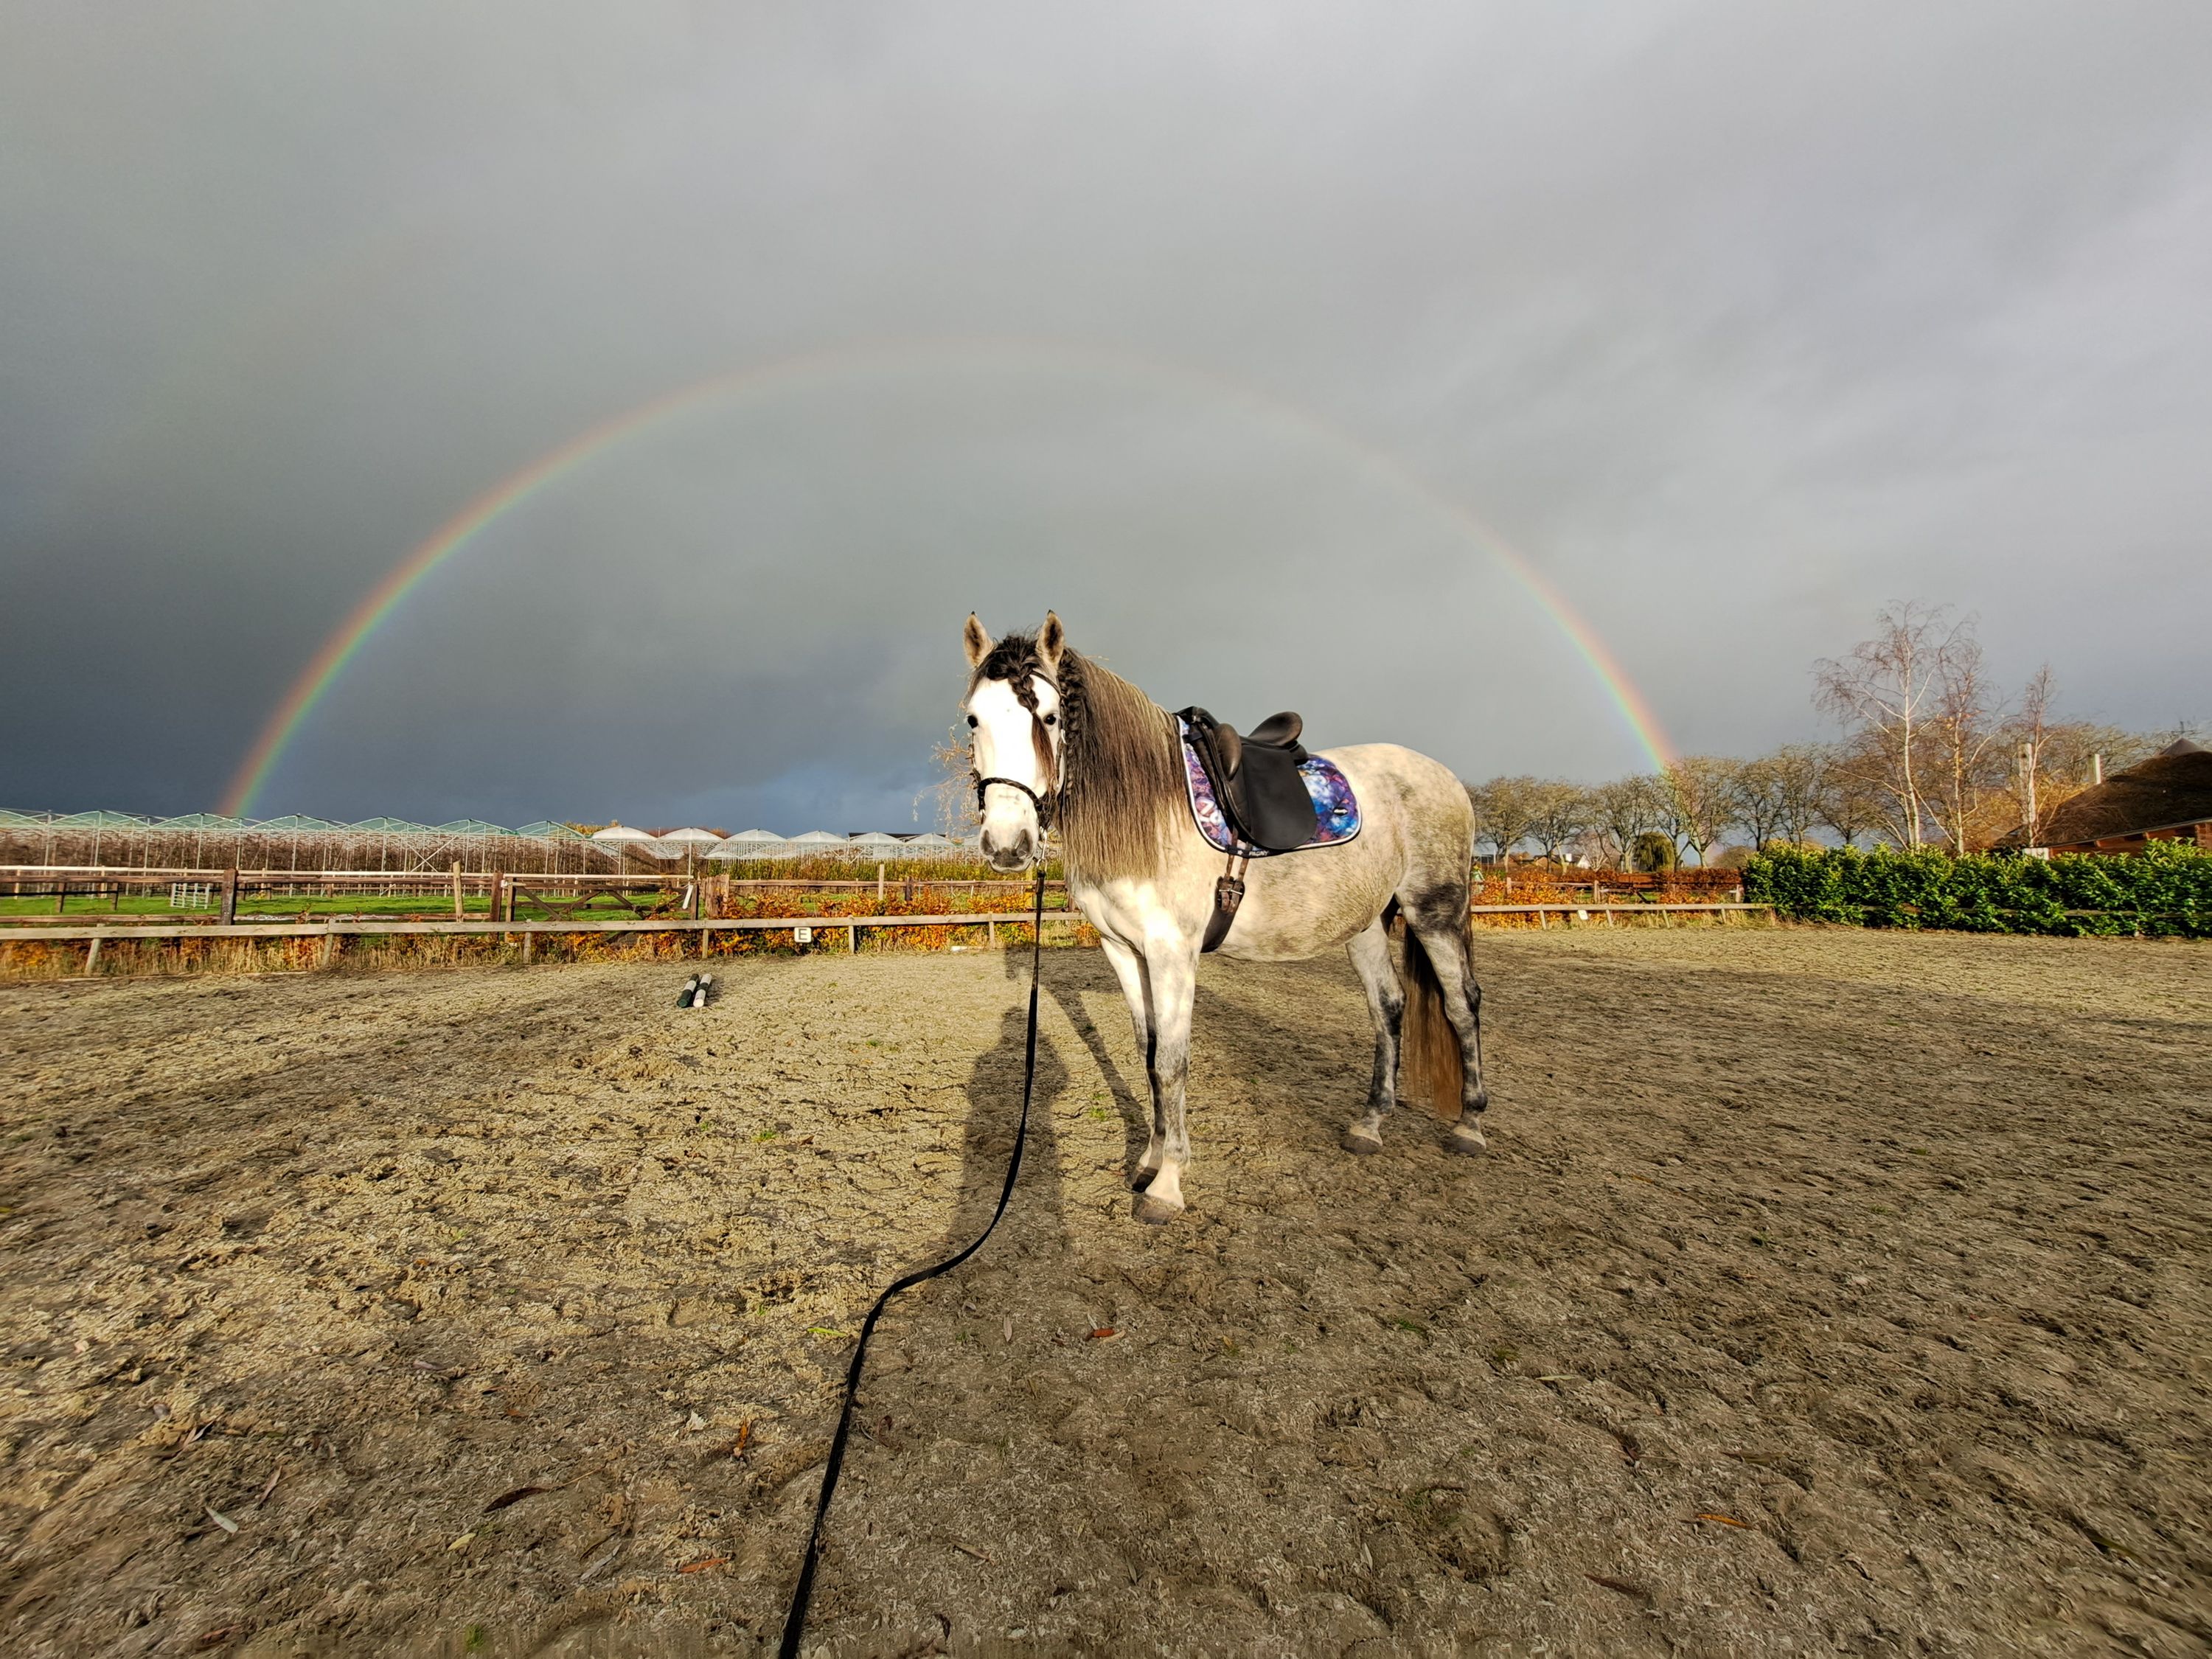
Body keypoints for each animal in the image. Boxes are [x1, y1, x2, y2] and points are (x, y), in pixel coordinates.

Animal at [962, 611, 1490, 1225]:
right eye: (973, 718)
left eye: (1049, 717)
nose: (1007, 845)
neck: (1150, 811)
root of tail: (1442, 776)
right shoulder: (1124, 951)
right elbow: (1147, 1057)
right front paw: (1148, 1160)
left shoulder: (1172, 952)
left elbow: (1172, 1062)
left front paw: (1167, 1184)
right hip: (1365, 926)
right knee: (1389, 1007)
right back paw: (1370, 1124)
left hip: (1435, 911)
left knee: (1461, 1004)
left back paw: (1470, 1126)